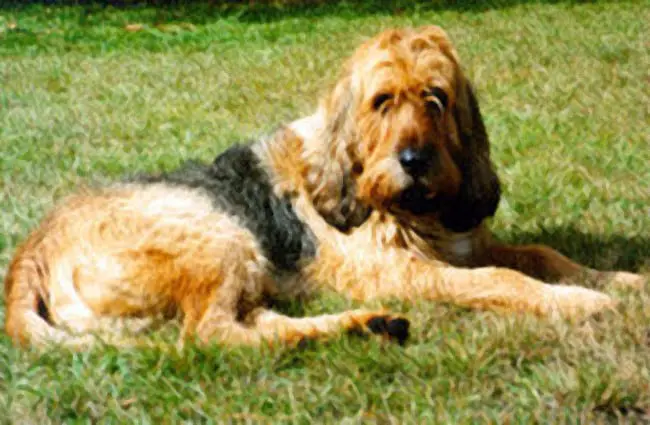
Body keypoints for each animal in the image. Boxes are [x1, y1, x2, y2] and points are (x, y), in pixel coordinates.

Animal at [3, 24, 644, 348]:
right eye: (382, 101)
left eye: (435, 98)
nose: (414, 161)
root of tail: (31, 251)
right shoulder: (403, 271)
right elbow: (501, 278)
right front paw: (578, 301)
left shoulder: (470, 240)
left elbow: (542, 253)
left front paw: (617, 278)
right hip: (221, 239)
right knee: (213, 337)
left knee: (253, 326)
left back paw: (369, 324)